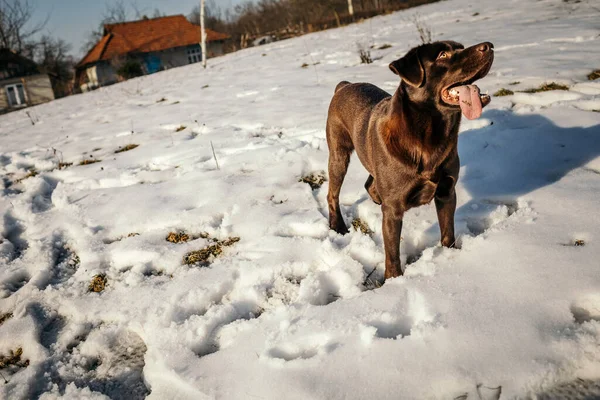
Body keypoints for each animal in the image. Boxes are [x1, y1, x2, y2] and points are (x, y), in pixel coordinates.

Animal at [326, 39, 494, 278]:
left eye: (460, 47)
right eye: (442, 55)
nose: (488, 46)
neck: (428, 137)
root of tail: (343, 85)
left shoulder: (446, 192)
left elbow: (447, 231)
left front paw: (450, 257)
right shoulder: (393, 210)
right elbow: (392, 253)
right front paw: (394, 280)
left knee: (369, 182)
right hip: (338, 155)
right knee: (332, 193)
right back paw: (338, 226)